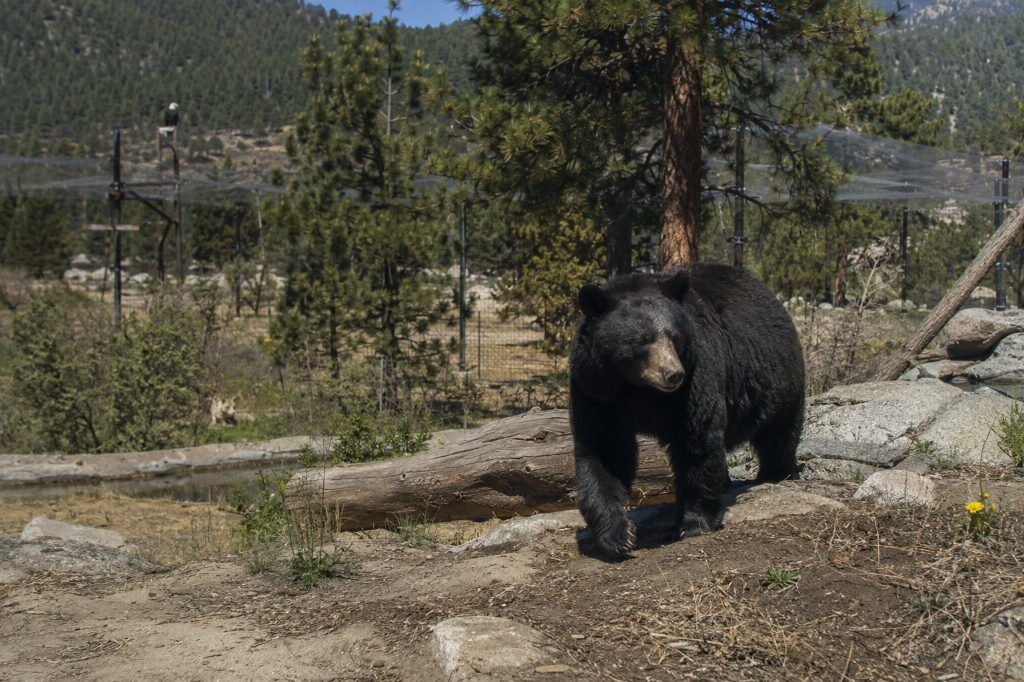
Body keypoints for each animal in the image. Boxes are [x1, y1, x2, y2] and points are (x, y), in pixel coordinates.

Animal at [569, 262, 805, 557]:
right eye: (642, 340)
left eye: (674, 336)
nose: (673, 374)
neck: (638, 388)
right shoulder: (596, 390)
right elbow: (603, 449)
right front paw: (618, 536)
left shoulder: (695, 377)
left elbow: (696, 439)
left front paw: (689, 524)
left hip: (777, 379)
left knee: (779, 434)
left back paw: (776, 474)